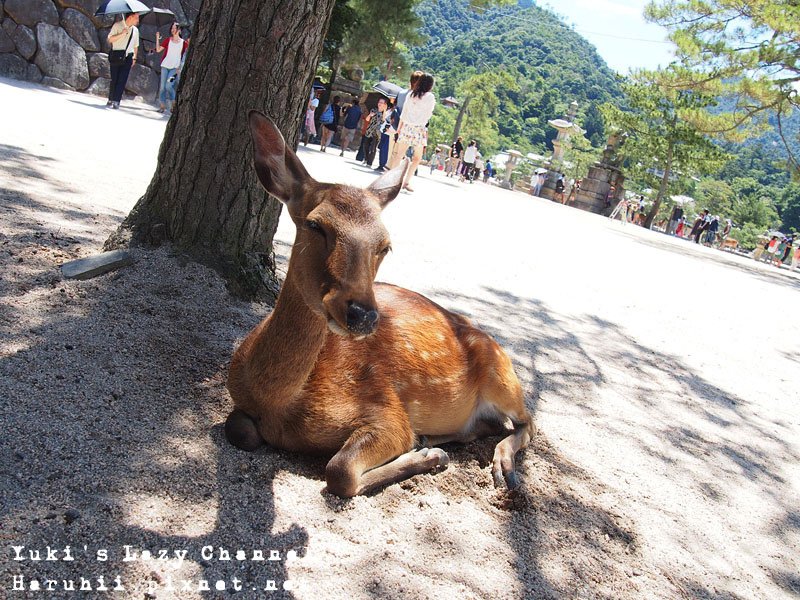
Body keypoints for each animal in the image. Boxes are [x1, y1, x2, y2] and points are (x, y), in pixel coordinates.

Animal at [225, 111, 536, 496]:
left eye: (385, 245)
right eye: (315, 224)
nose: (362, 314)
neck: (279, 403)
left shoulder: (387, 411)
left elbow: (340, 470)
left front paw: (425, 456)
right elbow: (240, 431)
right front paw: (427, 451)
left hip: (502, 375)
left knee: (526, 421)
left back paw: (500, 468)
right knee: (492, 425)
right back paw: (441, 439)